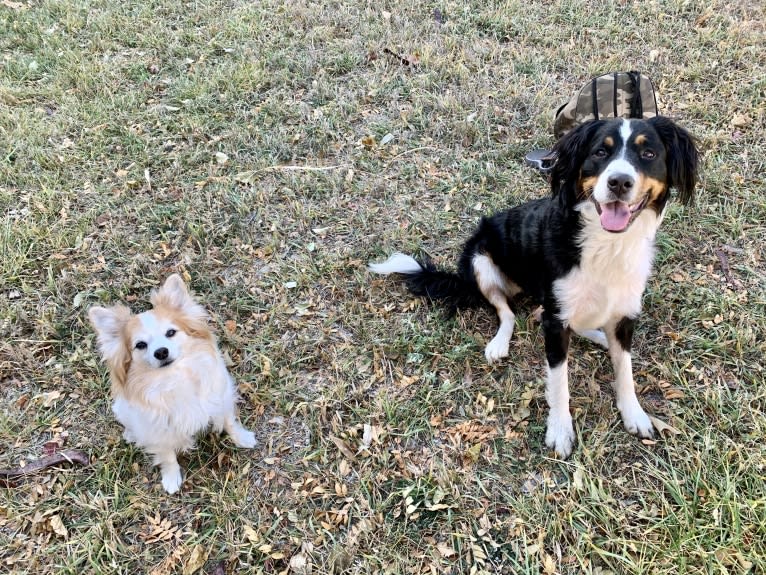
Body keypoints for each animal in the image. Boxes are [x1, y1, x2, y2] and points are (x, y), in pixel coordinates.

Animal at [89, 276, 258, 496]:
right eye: (140, 345)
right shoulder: (157, 431)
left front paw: (243, 438)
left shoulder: (220, 397)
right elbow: (167, 455)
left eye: (170, 332)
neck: (174, 378)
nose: (161, 351)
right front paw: (171, 478)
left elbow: (229, 422)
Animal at [372, 117, 704, 460]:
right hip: (481, 261)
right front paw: (560, 430)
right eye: (600, 152)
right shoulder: (556, 322)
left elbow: (624, 370)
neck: (606, 244)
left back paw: (600, 337)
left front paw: (633, 413)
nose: (619, 182)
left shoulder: (624, 313)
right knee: (507, 313)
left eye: (648, 154)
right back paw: (500, 343)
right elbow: (559, 382)